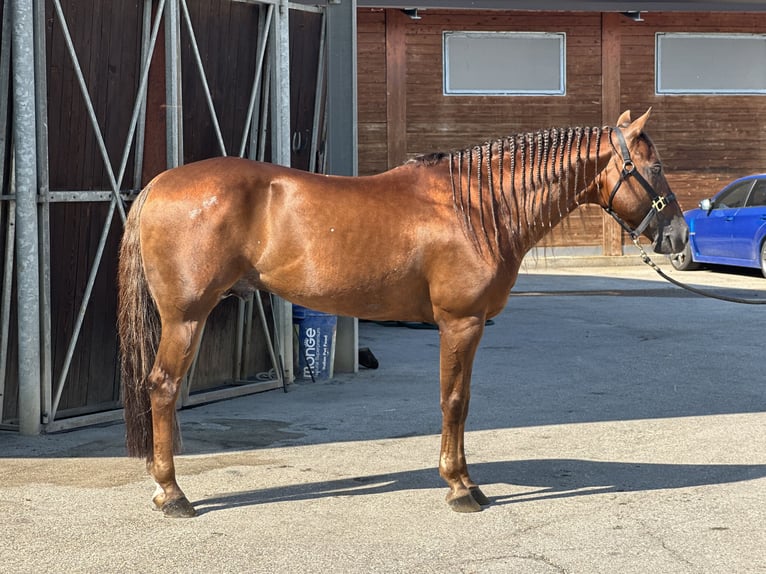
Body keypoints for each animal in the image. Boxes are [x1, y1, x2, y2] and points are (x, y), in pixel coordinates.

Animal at [118, 110, 688, 520]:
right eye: (656, 168)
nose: (680, 237)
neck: (477, 207)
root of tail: (159, 185)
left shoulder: (466, 325)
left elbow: (460, 401)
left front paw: (464, 480)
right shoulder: (460, 322)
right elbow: (454, 401)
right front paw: (460, 487)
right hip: (185, 319)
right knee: (162, 387)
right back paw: (172, 494)